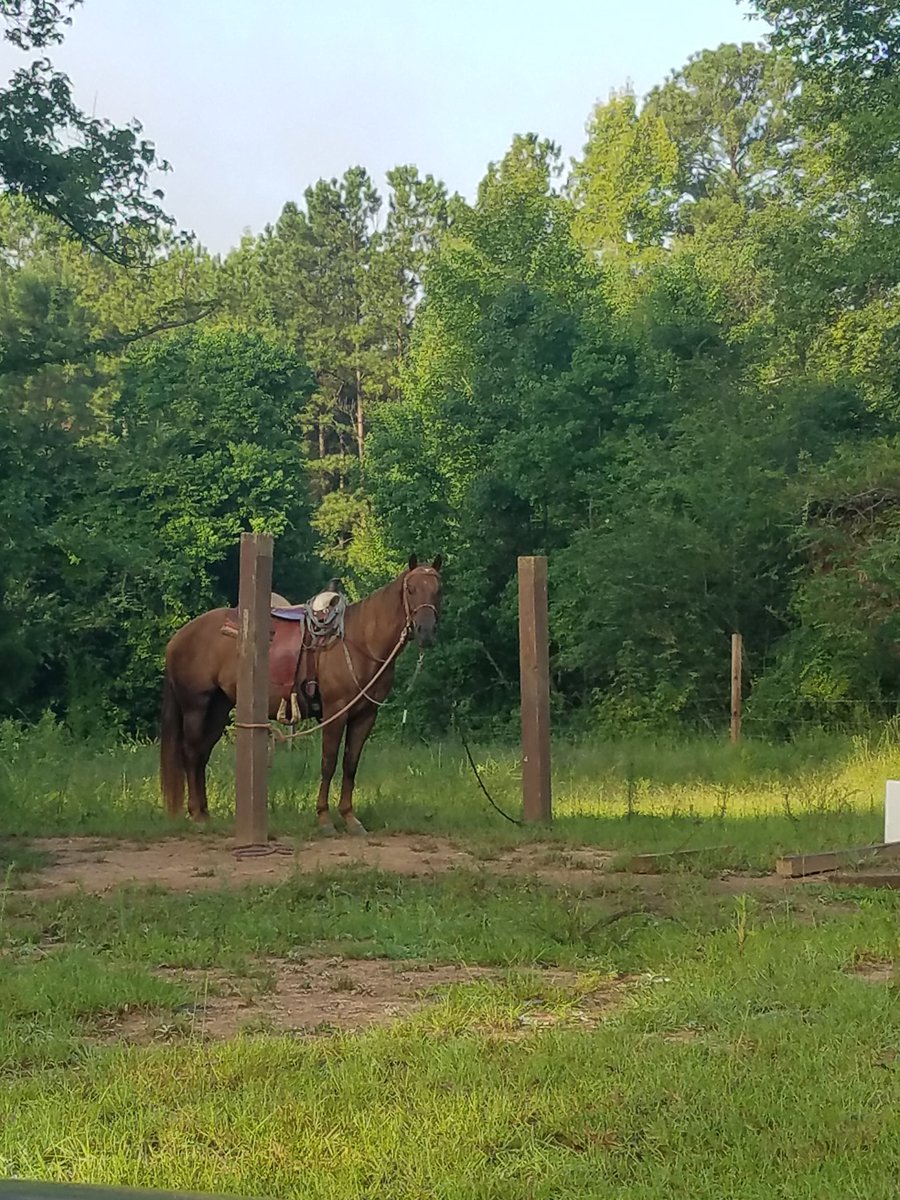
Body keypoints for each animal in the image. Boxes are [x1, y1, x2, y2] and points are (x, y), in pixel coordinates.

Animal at [159, 555, 443, 835]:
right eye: (410, 589)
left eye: (438, 590)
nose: (426, 631)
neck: (359, 642)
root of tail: (178, 638)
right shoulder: (335, 711)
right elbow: (328, 762)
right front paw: (324, 818)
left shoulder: (365, 715)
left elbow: (350, 763)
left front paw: (350, 818)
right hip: (196, 706)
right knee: (192, 752)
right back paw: (197, 815)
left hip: (219, 707)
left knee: (202, 754)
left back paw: (205, 814)